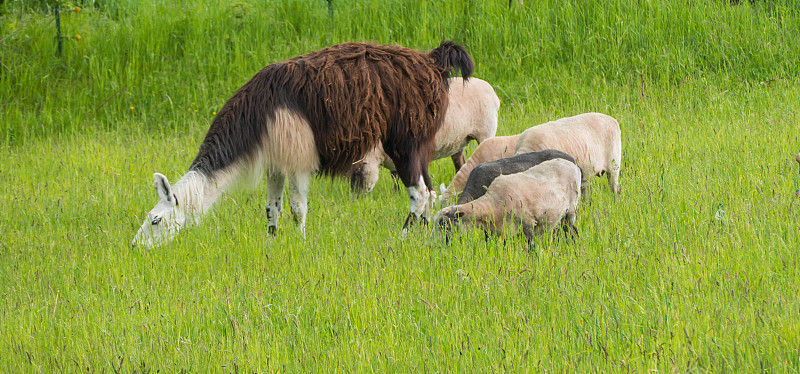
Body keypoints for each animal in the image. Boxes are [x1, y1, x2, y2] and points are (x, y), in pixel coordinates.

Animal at [350, 76, 500, 193]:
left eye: (358, 172)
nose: (355, 197)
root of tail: (490, 89)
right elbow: (395, 176)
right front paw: (396, 193)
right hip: (458, 141)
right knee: (460, 164)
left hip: (485, 133)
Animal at [432, 157, 580, 247]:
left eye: (444, 224)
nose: (434, 245)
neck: (494, 203)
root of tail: (571, 164)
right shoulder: (502, 231)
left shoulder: (527, 223)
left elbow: (532, 247)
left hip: (571, 209)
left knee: (571, 230)